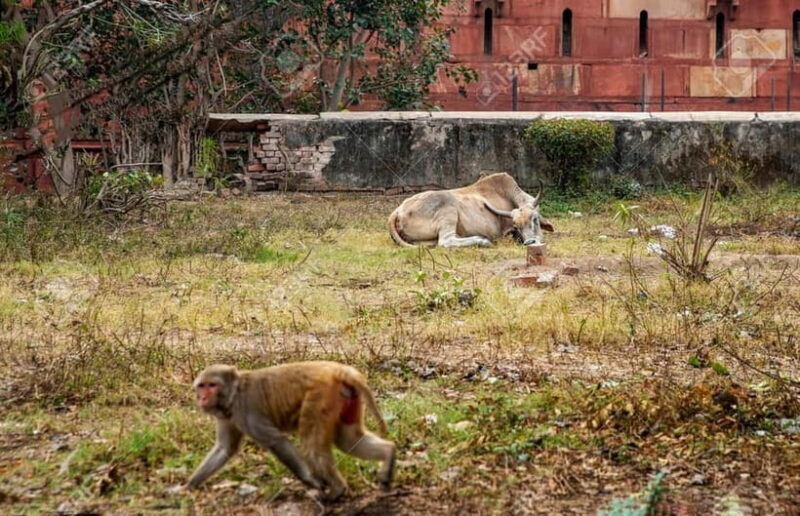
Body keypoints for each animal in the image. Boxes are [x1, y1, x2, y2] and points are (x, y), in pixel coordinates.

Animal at [187, 361, 396, 501]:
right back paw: (389, 453)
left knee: (312, 449)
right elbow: (225, 448)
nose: (203, 398)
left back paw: (337, 490)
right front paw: (188, 486)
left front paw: (311, 481)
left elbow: (276, 440)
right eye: (201, 386)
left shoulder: (245, 410)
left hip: (320, 398)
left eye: (212, 385)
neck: (234, 392)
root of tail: (339, 370)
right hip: (347, 399)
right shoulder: (227, 415)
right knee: (349, 440)